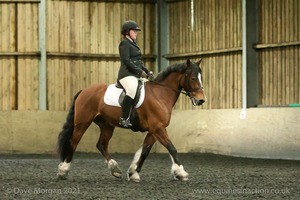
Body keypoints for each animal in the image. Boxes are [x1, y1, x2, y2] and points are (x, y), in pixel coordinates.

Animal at [56, 58, 206, 182]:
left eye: (201, 78)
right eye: (193, 78)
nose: (201, 100)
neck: (160, 94)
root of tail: (84, 90)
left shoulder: (154, 130)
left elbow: (145, 151)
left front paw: (133, 173)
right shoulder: (158, 128)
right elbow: (171, 148)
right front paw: (181, 172)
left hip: (107, 125)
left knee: (101, 145)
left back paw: (115, 169)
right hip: (82, 123)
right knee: (74, 143)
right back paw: (63, 171)